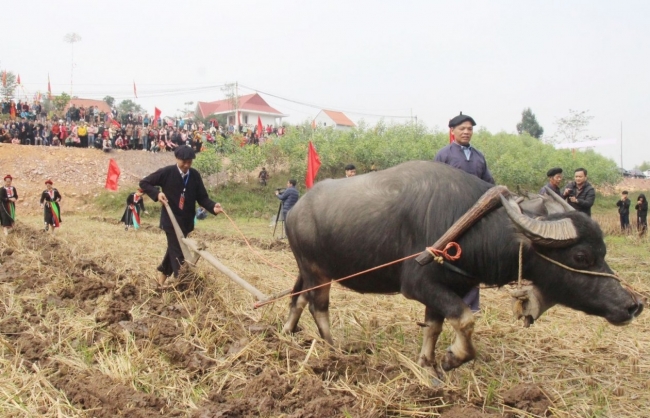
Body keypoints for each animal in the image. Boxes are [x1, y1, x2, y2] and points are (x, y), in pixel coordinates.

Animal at [280, 160, 640, 372]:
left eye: (604, 251)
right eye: (581, 257)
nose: (633, 305)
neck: (473, 229)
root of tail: (297, 209)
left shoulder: (446, 288)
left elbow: (435, 326)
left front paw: (429, 364)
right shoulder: (419, 285)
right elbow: (465, 320)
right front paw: (452, 358)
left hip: (307, 269)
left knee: (297, 296)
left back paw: (287, 332)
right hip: (317, 272)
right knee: (318, 305)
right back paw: (334, 348)